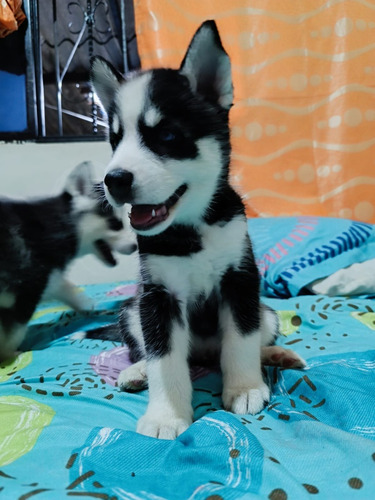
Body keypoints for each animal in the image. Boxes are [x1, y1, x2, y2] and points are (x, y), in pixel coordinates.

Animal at [0, 162, 137, 362]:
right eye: (115, 224)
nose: (135, 246)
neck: (63, 224)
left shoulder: (48, 279)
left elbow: (64, 288)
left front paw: (88, 306)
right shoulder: (29, 288)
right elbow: (13, 334)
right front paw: (9, 355)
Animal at [90, 21, 306, 440]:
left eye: (167, 136)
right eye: (115, 140)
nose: (114, 180)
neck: (193, 229)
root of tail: (204, 352)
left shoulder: (241, 280)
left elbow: (241, 340)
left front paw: (245, 387)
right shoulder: (158, 297)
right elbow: (163, 359)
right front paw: (166, 415)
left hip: (267, 312)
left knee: (249, 338)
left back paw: (274, 355)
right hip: (131, 310)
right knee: (148, 350)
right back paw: (135, 370)